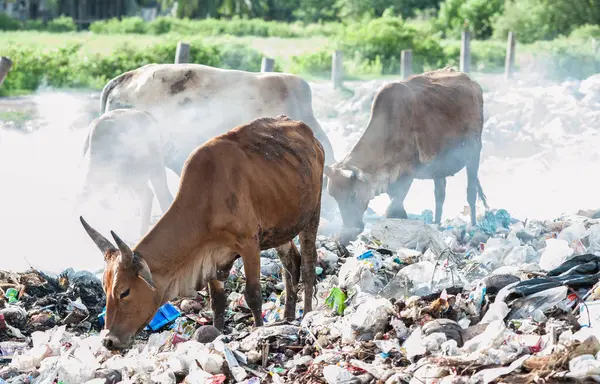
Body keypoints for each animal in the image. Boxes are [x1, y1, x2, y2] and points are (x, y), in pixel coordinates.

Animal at [324, 68, 488, 244]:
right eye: (333, 195)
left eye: (353, 194)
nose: (348, 233)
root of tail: (472, 83)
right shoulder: (391, 181)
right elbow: (398, 210)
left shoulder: (407, 174)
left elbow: (391, 211)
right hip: (439, 166)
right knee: (440, 195)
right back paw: (437, 224)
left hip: (474, 152)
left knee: (471, 192)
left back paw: (473, 226)